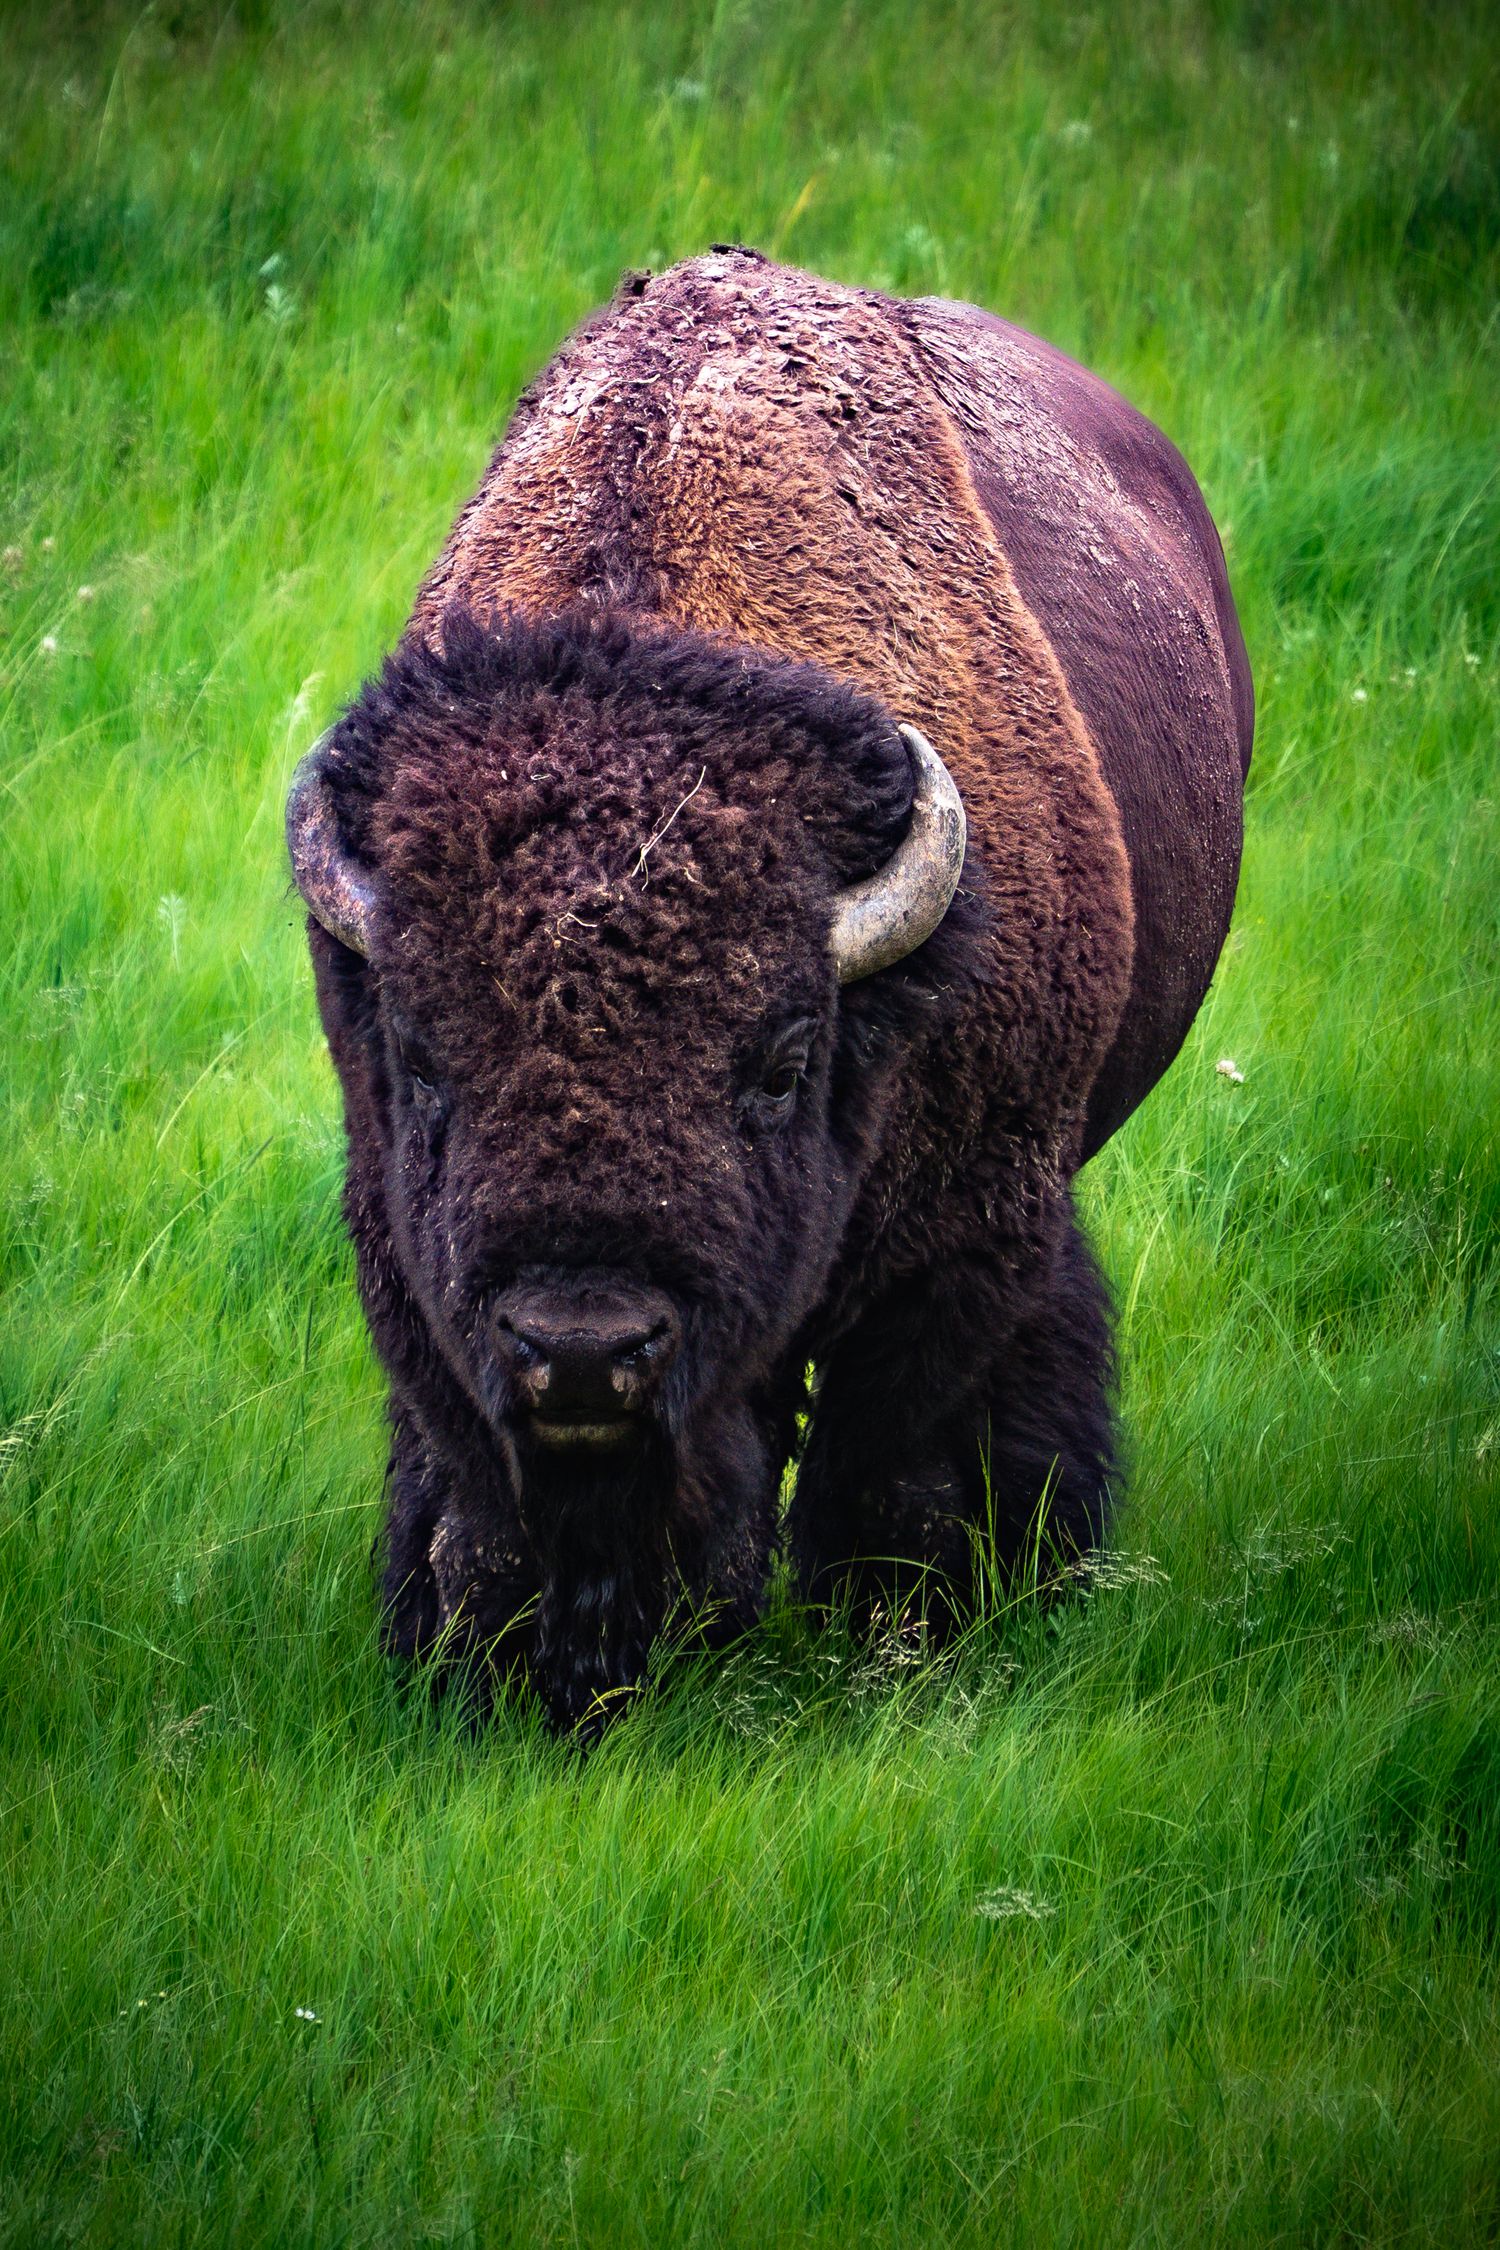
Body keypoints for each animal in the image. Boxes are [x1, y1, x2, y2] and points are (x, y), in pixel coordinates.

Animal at [287, 248, 1252, 1730]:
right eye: (423, 1059)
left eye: (782, 1062)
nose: (582, 1348)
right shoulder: (409, 1256)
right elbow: (476, 1485)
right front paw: (499, 1670)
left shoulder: (971, 1231)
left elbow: (904, 1457)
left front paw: (907, 1643)